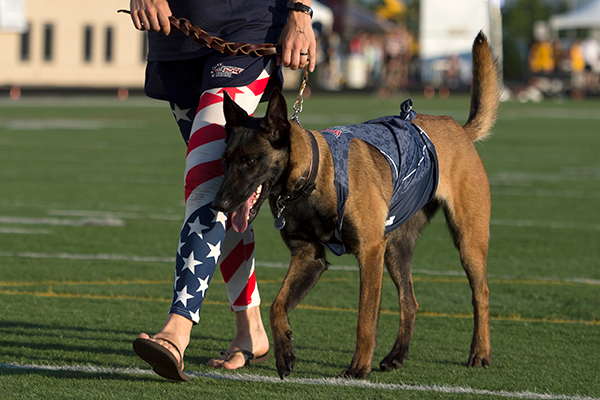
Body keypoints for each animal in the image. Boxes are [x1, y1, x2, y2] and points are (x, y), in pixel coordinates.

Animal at [213, 32, 500, 380]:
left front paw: (358, 367)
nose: (218, 203)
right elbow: (276, 305)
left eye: (250, 161)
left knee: (481, 294)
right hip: (396, 249)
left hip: (467, 239)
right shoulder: (309, 259)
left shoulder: (369, 253)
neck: (313, 175)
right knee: (410, 302)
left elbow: (365, 318)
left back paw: (480, 352)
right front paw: (285, 352)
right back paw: (396, 356)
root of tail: (458, 128)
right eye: (226, 161)